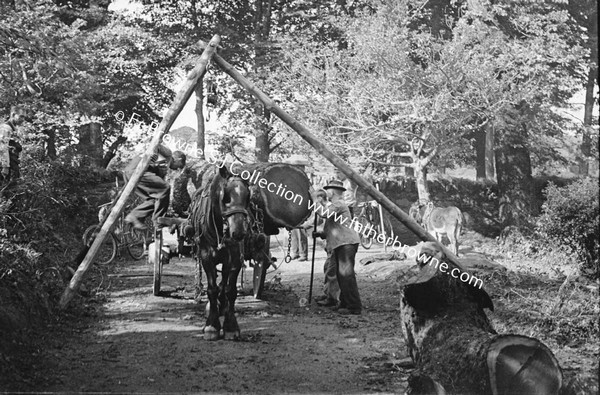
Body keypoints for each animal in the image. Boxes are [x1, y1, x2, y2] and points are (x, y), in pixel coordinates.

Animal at [190, 164, 251, 340]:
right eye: (225, 197)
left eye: (248, 197)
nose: (238, 232)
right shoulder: (205, 256)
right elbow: (212, 289)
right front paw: (211, 325)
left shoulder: (235, 257)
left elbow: (230, 290)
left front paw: (230, 326)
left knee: (223, 281)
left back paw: (222, 305)